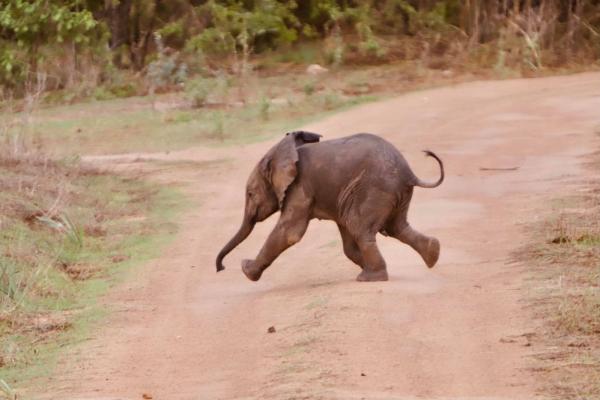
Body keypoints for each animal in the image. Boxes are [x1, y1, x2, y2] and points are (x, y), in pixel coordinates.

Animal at [218, 131, 442, 282]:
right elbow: (347, 243)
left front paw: (246, 270)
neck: (281, 154)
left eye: (250, 194)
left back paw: (370, 278)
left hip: (376, 189)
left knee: (362, 229)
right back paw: (432, 254)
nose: (221, 268)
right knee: (396, 227)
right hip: (391, 193)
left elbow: (289, 232)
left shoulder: (300, 186)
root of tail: (410, 174)